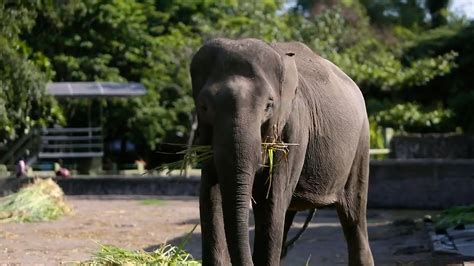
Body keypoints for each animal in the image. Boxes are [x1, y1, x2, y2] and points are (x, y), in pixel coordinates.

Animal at [190, 38, 374, 266]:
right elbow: (209, 195)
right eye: (204, 107)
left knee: (353, 214)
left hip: (361, 143)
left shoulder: (294, 130)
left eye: (268, 105)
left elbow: (271, 202)